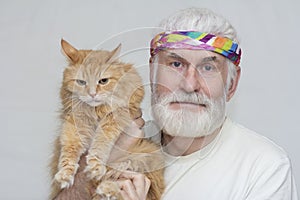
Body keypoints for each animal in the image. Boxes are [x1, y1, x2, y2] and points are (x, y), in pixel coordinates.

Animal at [50, 39, 165, 200]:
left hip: (145, 158)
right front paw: (65, 173)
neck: (96, 111)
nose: (92, 94)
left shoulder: (117, 114)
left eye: (103, 81)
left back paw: (106, 188)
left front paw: (95, 165)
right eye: (81, 82)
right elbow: (69, 149)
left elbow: (101, 141)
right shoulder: (75, 121)